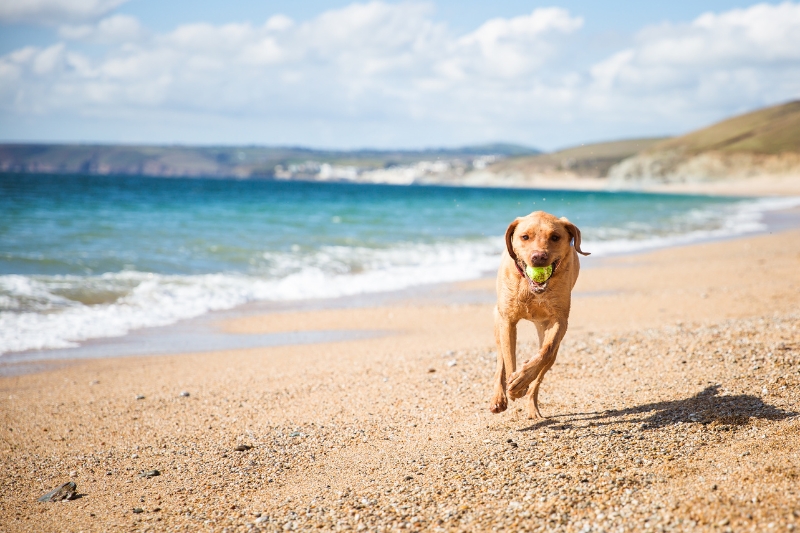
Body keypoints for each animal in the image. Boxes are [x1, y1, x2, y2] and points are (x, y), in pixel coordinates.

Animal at [488, 210, 588, 418]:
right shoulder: (507, 320)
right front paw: (514, 385)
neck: (531, 288)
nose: (539, 257)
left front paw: (521, 379)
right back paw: (499, 398)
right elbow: (509, 358)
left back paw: (532, 405)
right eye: (525, 237)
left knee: (543, 367)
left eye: (555, 237)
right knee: (500, 360)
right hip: (498, 321)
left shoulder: (559, 321)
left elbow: (546, 351)